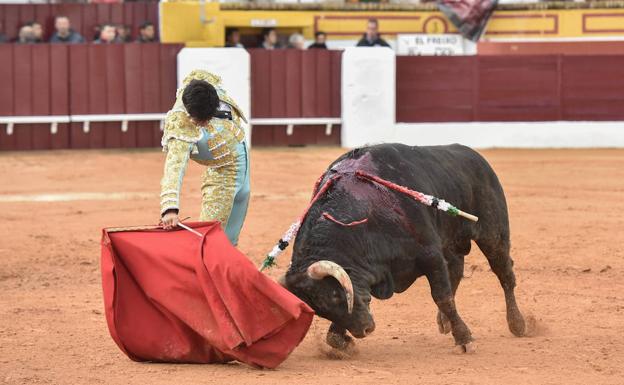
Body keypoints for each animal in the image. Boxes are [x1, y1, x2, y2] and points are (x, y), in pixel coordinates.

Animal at [282, 143, 528, 352]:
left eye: (334, 296)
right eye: (320, 309)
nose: (364, 330)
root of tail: (476, 157)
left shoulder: (430, 254)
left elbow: (442, 296)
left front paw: (464, 339)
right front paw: (342, 341)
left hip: (493, 234)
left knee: (504, 274)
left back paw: (518, 324)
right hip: (451, 242)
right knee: (457, 271)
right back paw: (444, 322)